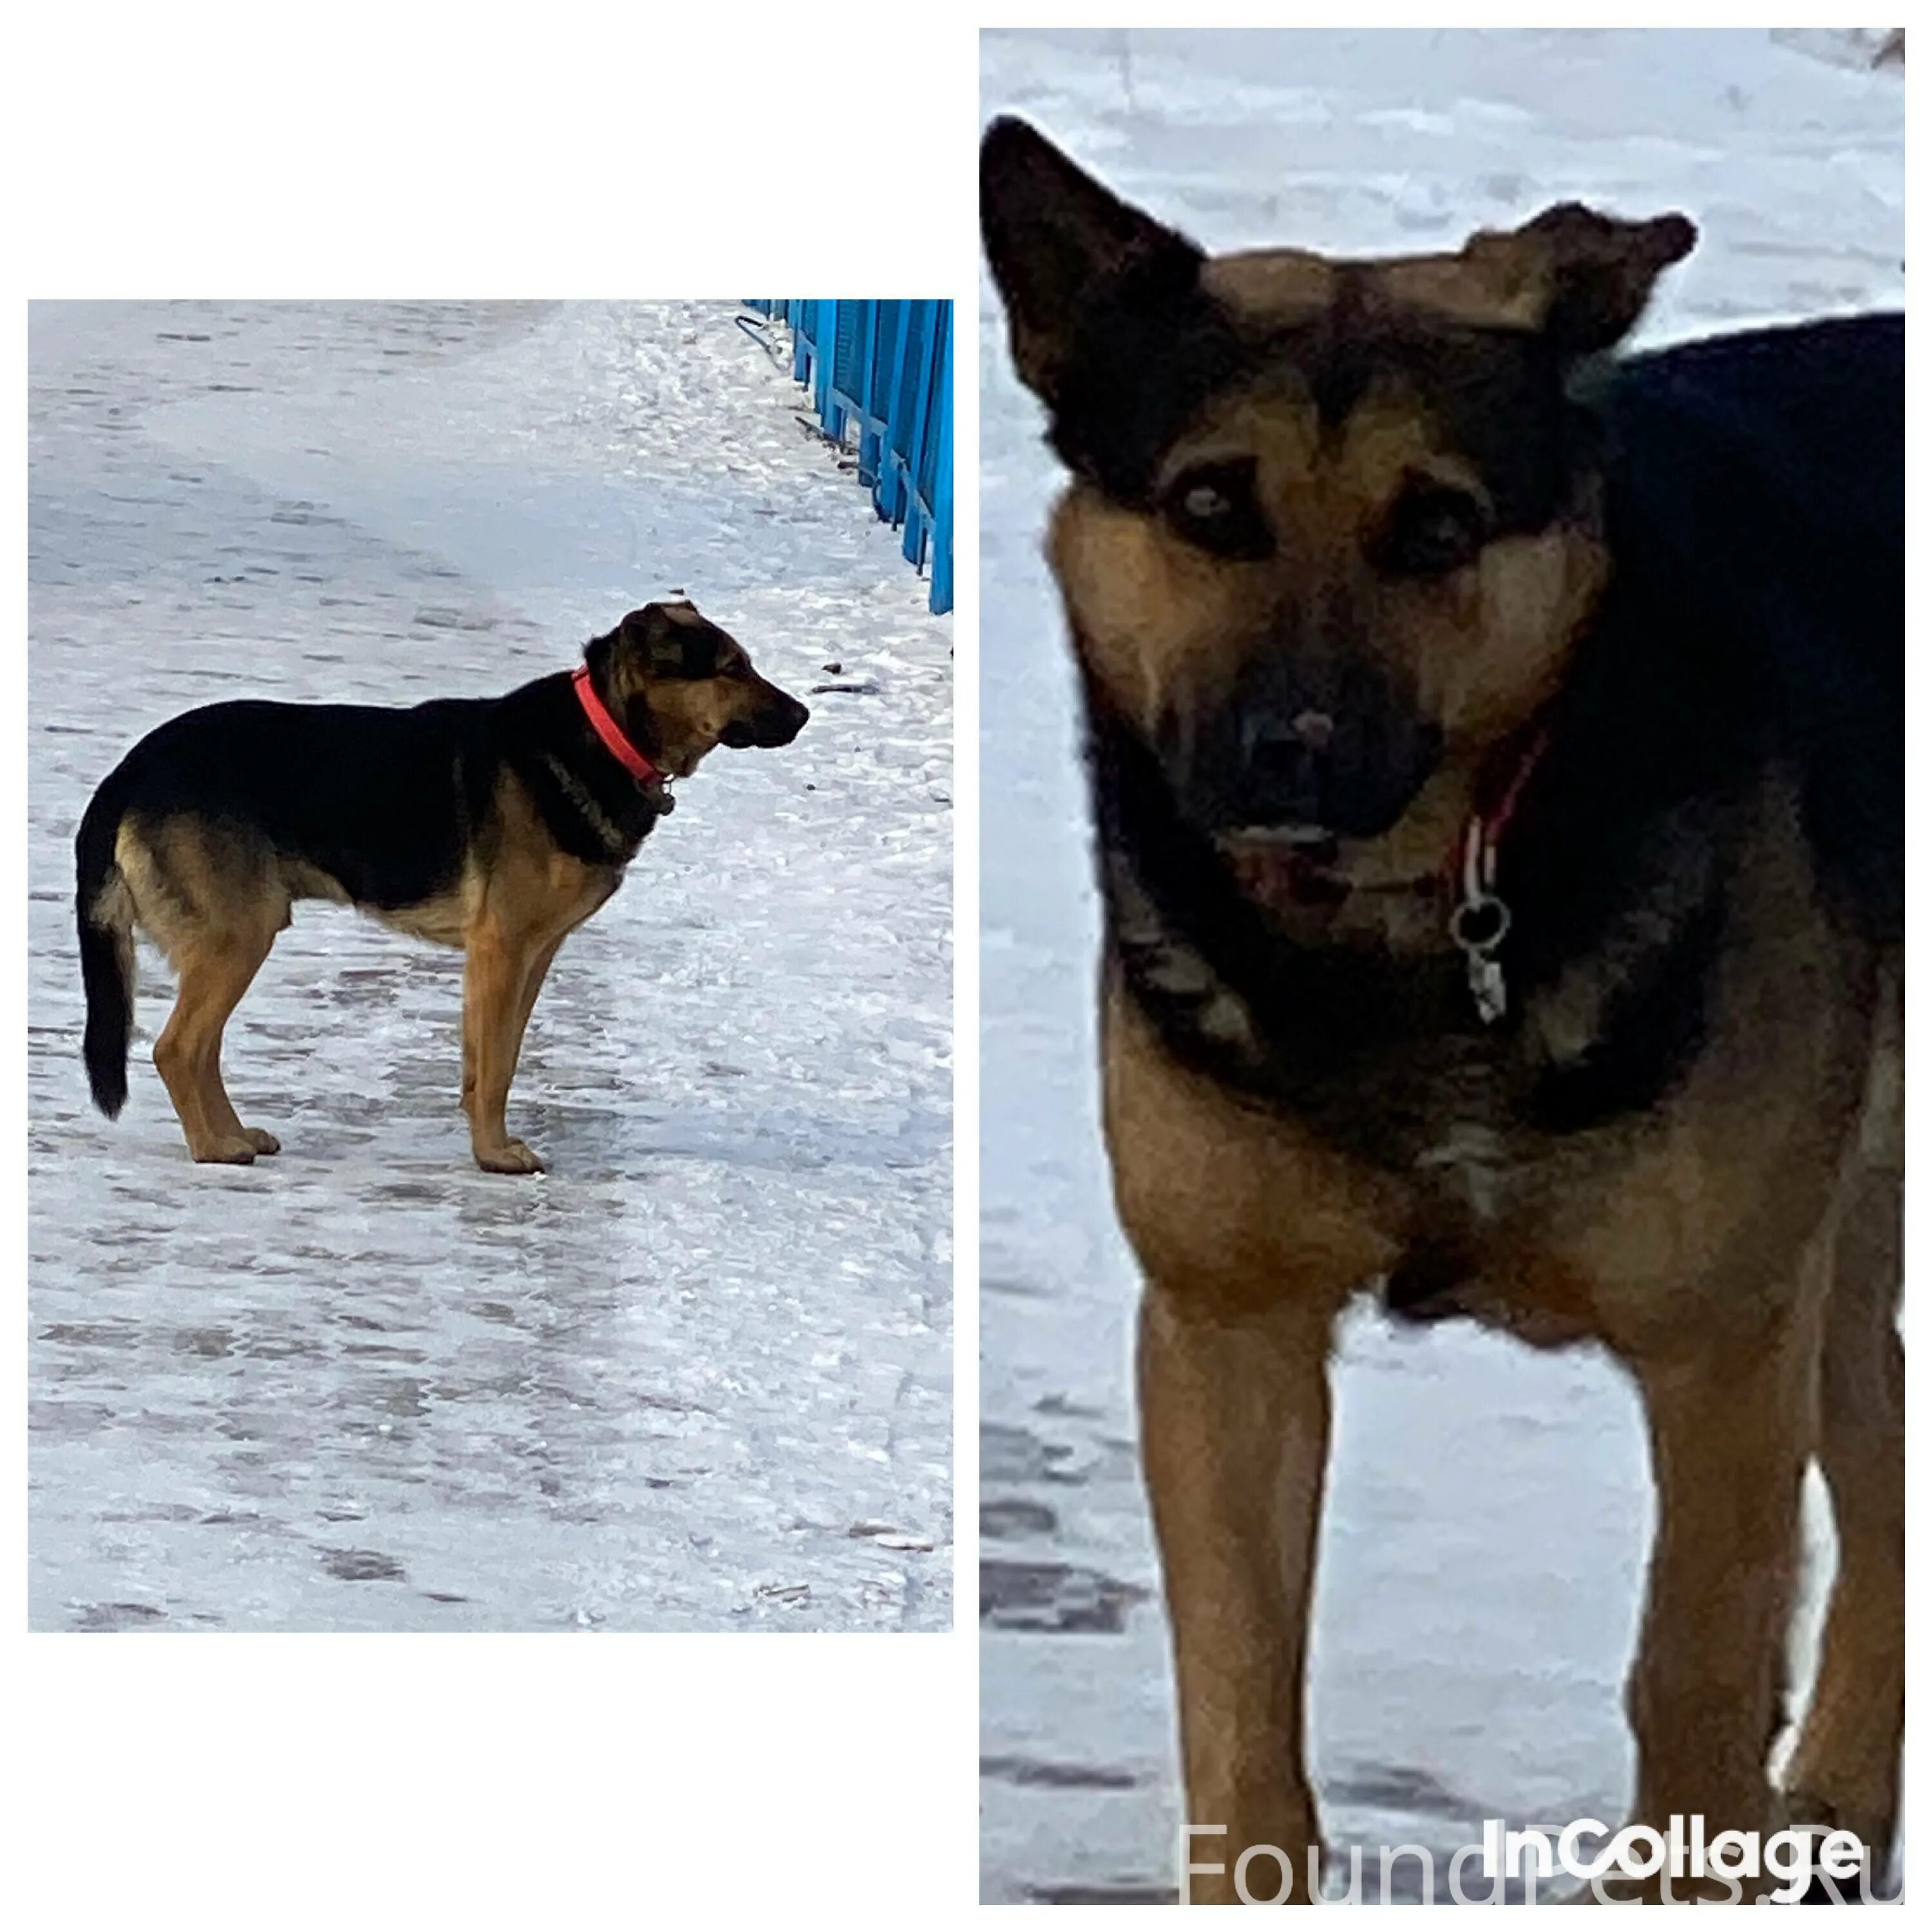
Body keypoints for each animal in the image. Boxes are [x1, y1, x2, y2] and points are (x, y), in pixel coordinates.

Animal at [77, 599, 808, 1175]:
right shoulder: (502, 950)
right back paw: (213, 1148)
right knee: (178, 1049)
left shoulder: (531, 957)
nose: (804, 716)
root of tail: (128, 771)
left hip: (236, 938)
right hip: (239, 937)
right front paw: (495, 1156)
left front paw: (488, 1141)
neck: (605, 735)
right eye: (731, 669)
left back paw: (233, 1134)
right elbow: (498, 1066)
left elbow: (492, 1060)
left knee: (201, 1049)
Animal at [981, 117, 1901, 1901]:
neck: (1421, 919)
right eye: (1209, 504)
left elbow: (1689, 1677)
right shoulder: (1230, 1330)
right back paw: (1841, 1791)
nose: (1291, 758)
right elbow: (1242, 1712)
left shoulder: (1718, 1351)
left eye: (1437, 528)